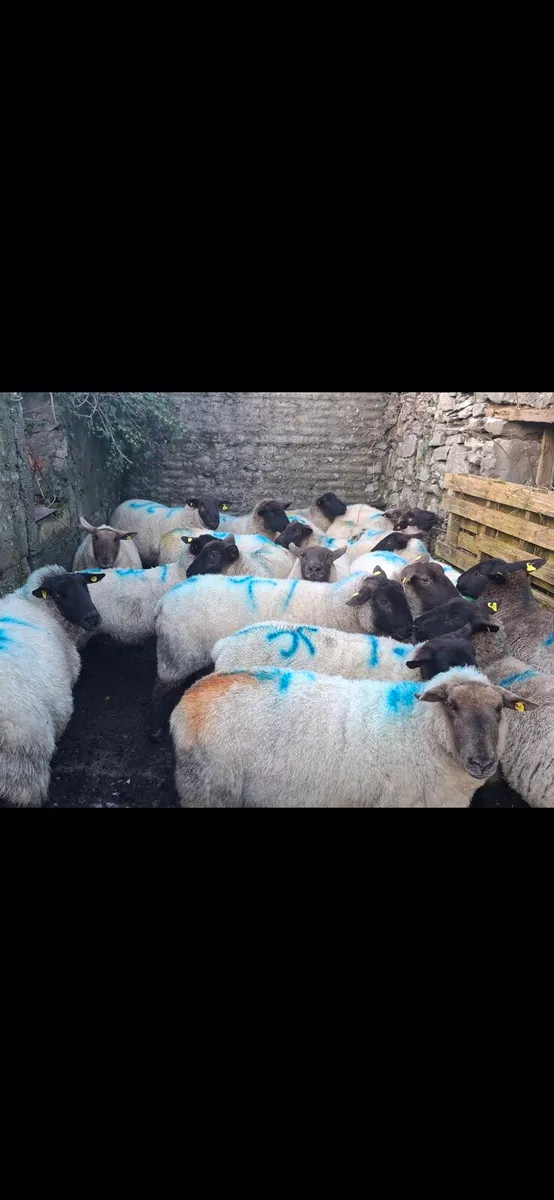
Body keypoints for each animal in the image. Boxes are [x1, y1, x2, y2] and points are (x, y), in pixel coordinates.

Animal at [151, 569, 414, 738]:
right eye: (384, 601)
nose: (410, 629)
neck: (334, 605)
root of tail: (164, 600)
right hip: (177, 653)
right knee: (161, 689)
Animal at [170, 665, 533, 808]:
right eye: (452, 706)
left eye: (498, 710)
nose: (483, 762)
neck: (418, 730)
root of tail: (189, 697)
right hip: (208, 789)